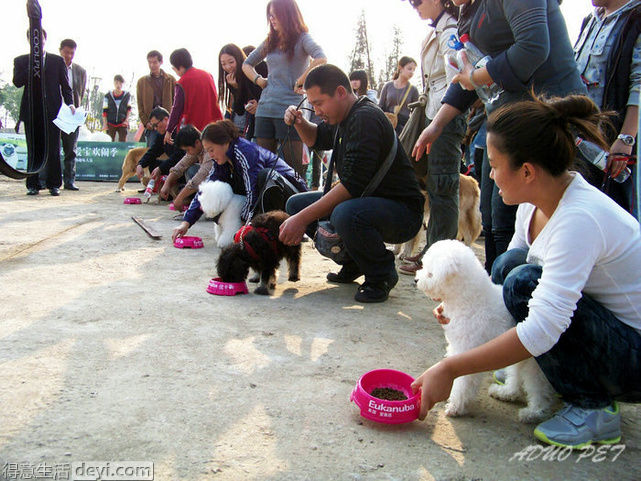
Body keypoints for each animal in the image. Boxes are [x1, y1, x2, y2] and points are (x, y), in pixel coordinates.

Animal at [416, 239, 556, 420]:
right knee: (516, 376)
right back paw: (505, 392)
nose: (416, 280)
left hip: (533, 360)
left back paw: (533, 412)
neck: (470, 300)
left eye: (430, 273)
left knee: (537, 387)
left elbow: (463, 382)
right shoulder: (456, 346)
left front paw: (455, 406)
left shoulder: (468, 348)